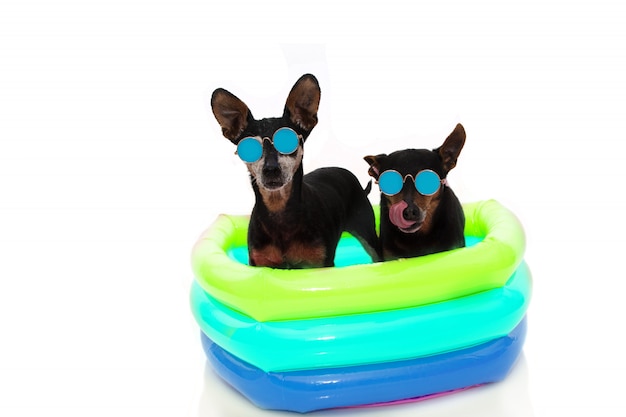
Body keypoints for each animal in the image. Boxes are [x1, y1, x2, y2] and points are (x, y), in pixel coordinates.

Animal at [210, 74, 378, 266]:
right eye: (249, 149)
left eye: (289, 142)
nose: (271, 169)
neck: (279, 212)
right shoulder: (259, 263)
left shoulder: (320, 264)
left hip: (367, 231)